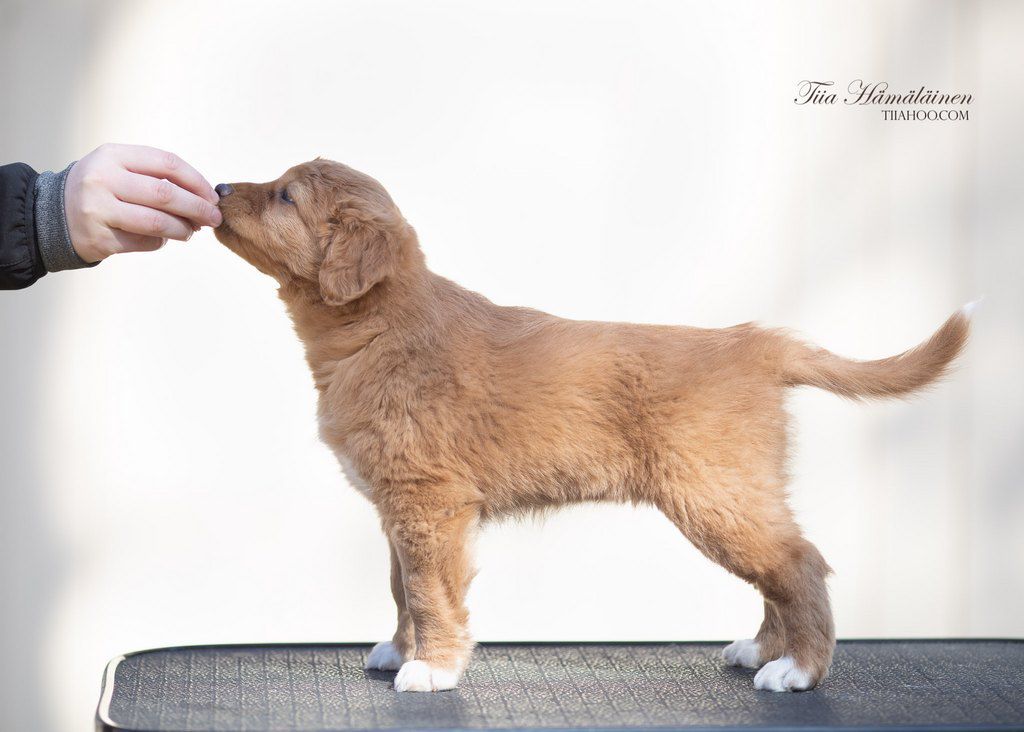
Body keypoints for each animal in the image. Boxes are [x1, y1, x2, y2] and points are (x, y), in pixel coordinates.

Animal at [214, 158, 966, 692]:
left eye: (285, 196)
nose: (217, 185)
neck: (375, 326)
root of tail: (756, 342)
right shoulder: (399, 507)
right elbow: (401, 586)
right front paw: (402, 651)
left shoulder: (429, 502)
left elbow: (428, 591)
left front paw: (432, 667)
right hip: (734, 494)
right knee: (777, 572)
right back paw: (762, 650)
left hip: (714, 493)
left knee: (797, 563)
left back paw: (799, 670)